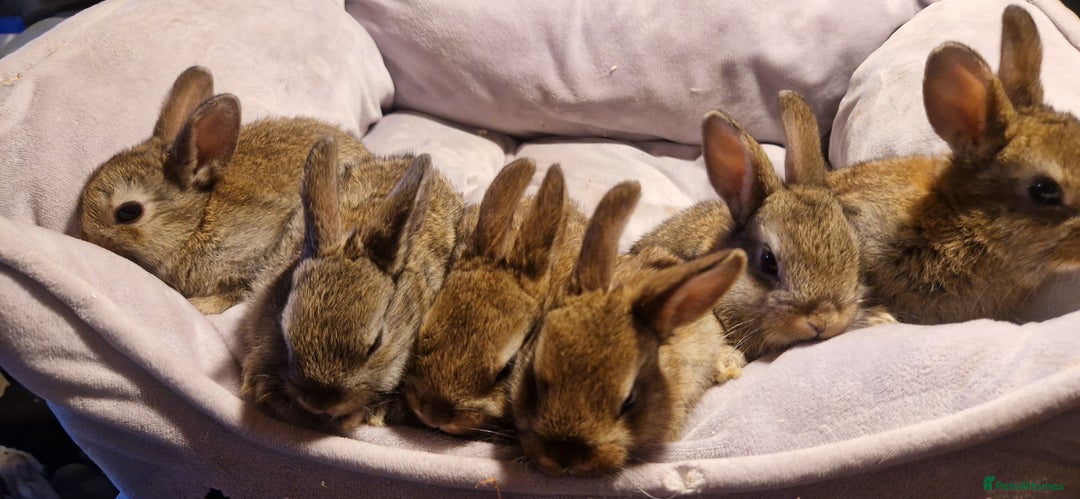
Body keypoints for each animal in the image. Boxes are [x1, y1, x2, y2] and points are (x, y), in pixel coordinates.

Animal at [79, 65, 376, 314]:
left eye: (128, 212)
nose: (86, 237)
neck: (196, 223)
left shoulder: (256, 253)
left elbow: (240, 290)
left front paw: (200, 306)